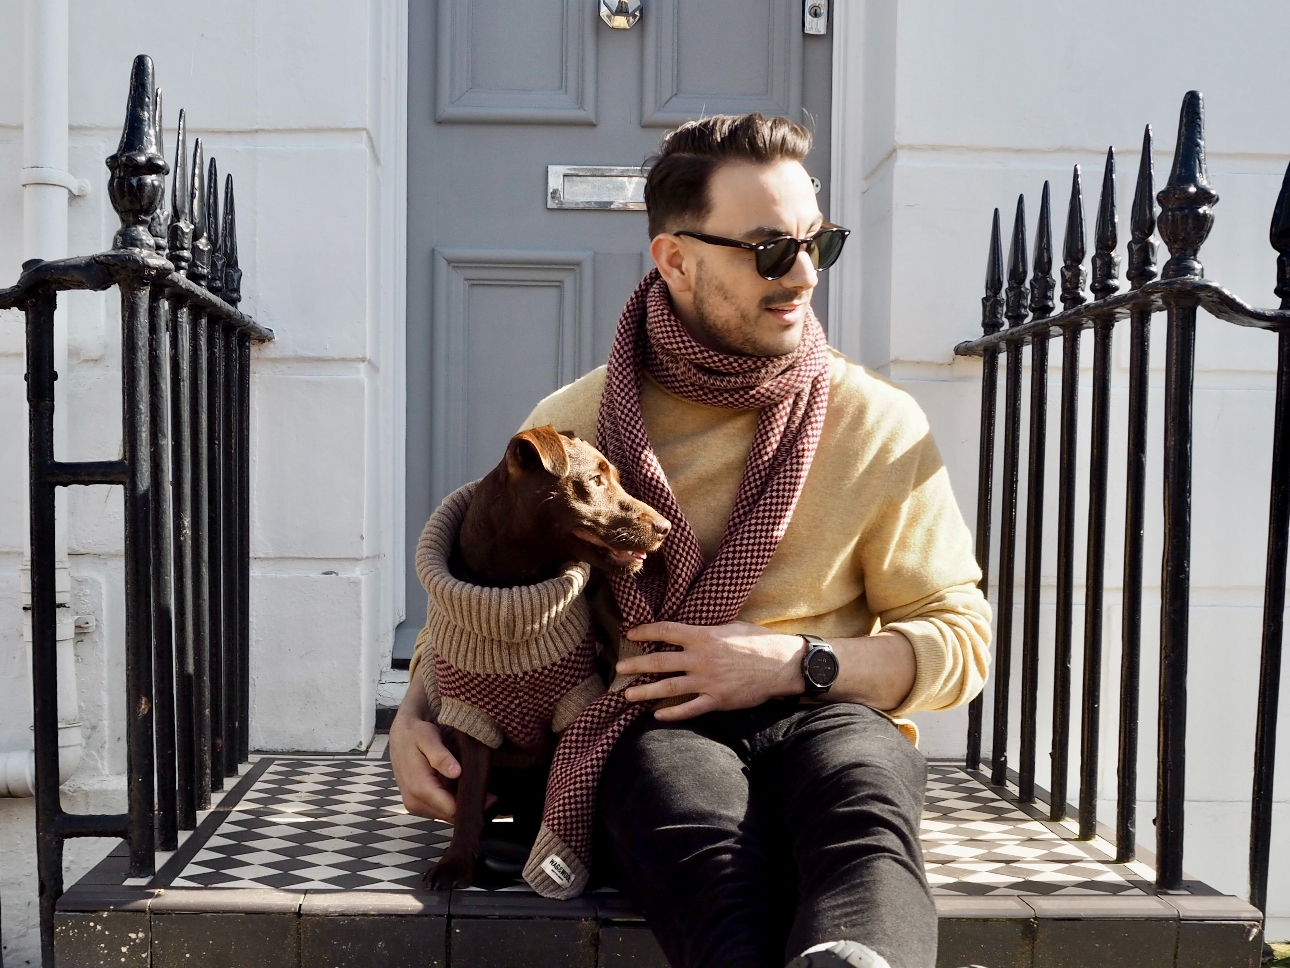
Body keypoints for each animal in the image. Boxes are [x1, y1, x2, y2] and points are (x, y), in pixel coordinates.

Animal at [423, 428, 670, 893]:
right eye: (595, 480)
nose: (665, 528)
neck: (515, 593)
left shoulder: (573, 706)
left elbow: (562, 783)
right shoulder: (469, 719)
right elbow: (468, 796)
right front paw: (456, 863)